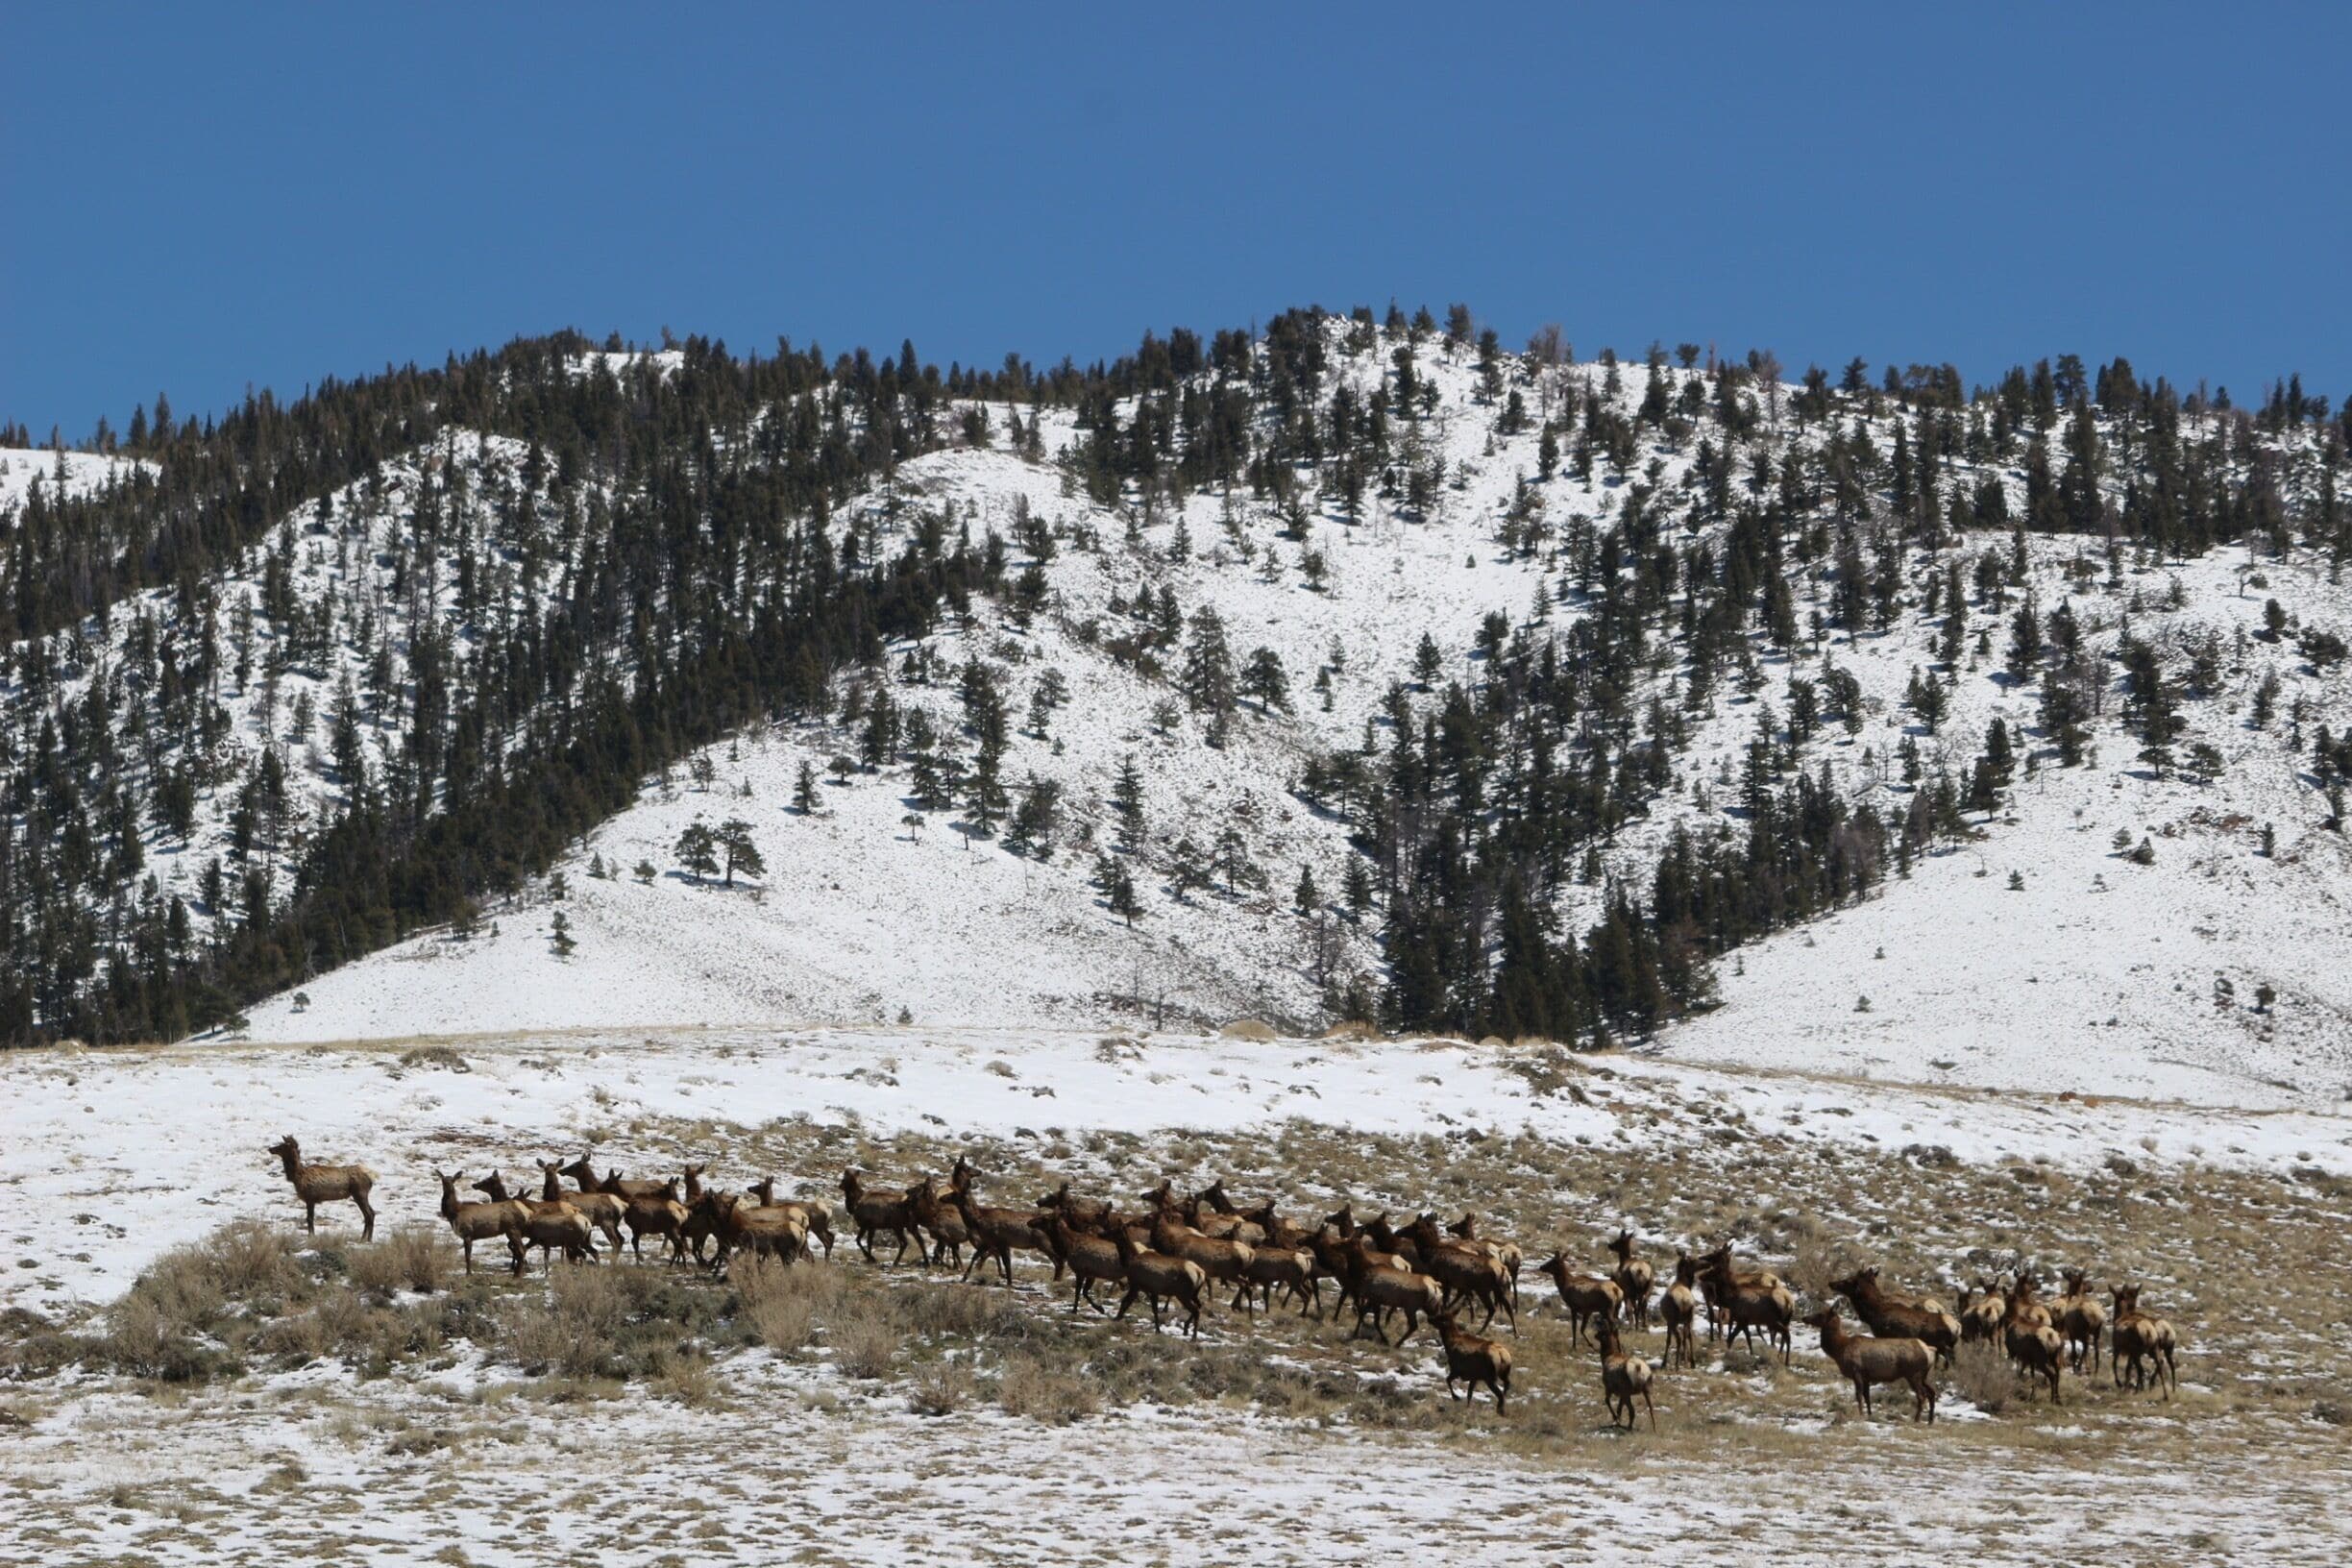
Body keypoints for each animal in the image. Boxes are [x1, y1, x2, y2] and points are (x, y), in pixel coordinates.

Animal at [1805, 1307, 1937, 1423]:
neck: (1839, 1349)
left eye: (1820, 1314)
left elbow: (1859, 1395)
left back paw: (1917, 1419)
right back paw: (1930, 1421)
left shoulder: (1857, 1371)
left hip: (1913, 1374)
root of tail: (1929, 1351)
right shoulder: (1866, 1377)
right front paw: (1869, 1415)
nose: (1804, 1317)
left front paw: (1860, 1414)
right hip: (1924, 1376)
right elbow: (1867, 1397)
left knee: (1922, 1395)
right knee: (1932, 1392)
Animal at [1829, 1266, 1961, 1366]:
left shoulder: (1884, 1335)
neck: (1873, 1314)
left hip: (1942, 1345)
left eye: (1849, 1281)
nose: (1831, 1283)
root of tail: (1957, 1327)